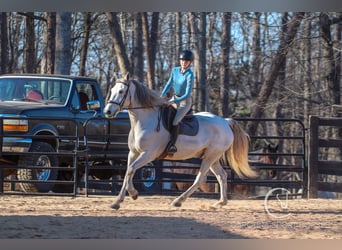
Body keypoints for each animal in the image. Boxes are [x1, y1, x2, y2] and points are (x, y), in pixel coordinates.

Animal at [103, 74, 258, 209]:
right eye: (112, 90)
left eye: (121, 91)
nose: (108, 111)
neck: (144, 121)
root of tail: (225, 122)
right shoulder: (133, 153)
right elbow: (127, 172)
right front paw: (117, 202)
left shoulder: (148, 154)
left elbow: (131, 170)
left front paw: (134, 194)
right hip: (213, 158)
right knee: (222, 176)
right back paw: (220, 202)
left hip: (210, 156)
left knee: (200, 179)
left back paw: (178, 201)